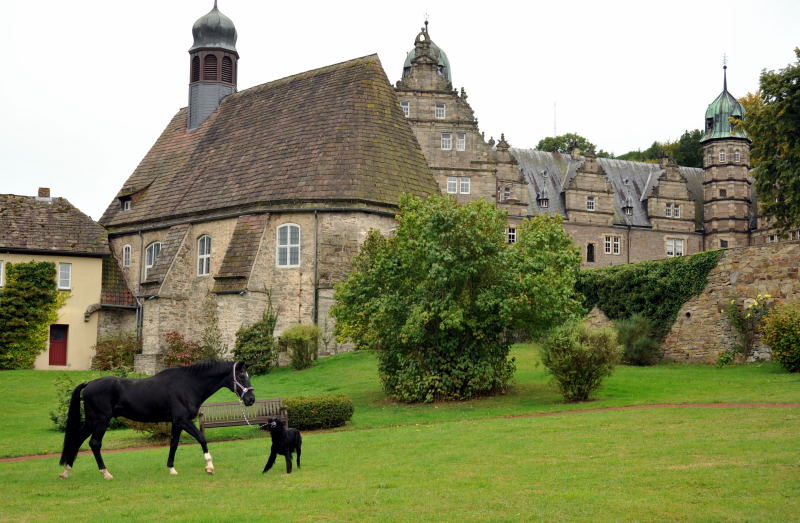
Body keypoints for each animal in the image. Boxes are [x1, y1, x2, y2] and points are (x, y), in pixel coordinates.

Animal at [58, 362, 255, 482]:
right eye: (241, 376)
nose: (251, 399)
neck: (188, 385)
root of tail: (89, 383)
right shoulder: (183, 421)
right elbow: (202, 438)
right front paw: (209, 466)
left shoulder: (176, 423)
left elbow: (174, 444)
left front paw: (172, 469)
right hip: (101, 421)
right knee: (94, 443)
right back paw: (106, 473)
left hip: (92, 421)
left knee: (77, 440)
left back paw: (66, 471)